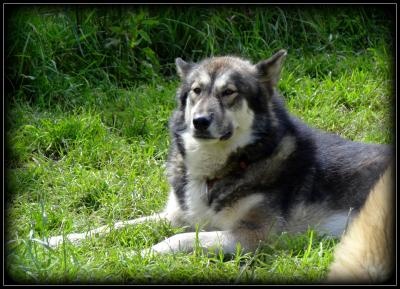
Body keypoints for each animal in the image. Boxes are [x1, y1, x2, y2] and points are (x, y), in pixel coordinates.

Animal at [47, 50, 394, 282]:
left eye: (229, 93)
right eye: (196, 91)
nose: (200, 122)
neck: (216, 170)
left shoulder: (254, 237)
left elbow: (178, 240)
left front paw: (131, 255)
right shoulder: (177, 215)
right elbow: (113, 226)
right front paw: (56, 241)